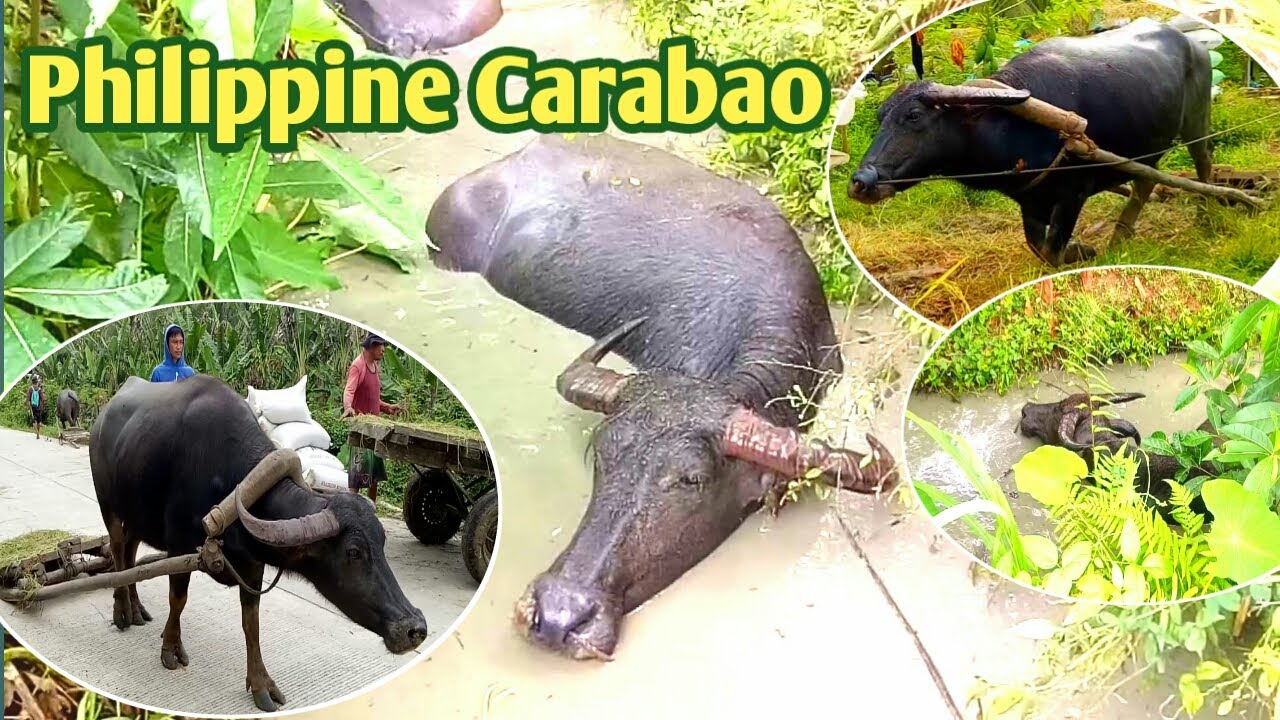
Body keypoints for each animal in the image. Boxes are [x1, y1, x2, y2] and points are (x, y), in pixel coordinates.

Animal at [89, 375, 427, 711]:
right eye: (354, 552)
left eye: (382, 544)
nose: (415, 628)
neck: (229, 481)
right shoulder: (179, 548)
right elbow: (178, 600)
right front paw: (171, 648)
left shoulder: (253, 565)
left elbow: (251, 623)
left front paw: (261, 684)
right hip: (108, 503)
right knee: (118, 550)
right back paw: (122, 611)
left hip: (136, 513)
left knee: (130, 551)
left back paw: (136, 608)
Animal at [848, 18, 1215, 266]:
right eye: (881, 117)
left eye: (913, 116)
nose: (860, 182)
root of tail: (1194, 45)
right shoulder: (1030, 198)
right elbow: (1037, 245)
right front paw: (1082, 250)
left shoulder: (1073, 193)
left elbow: (1052, 250)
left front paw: (1079, 250)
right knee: (1145, 181)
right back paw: (1121, 234)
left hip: (1197, 122)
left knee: (1203, 164)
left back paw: (1205, 217)